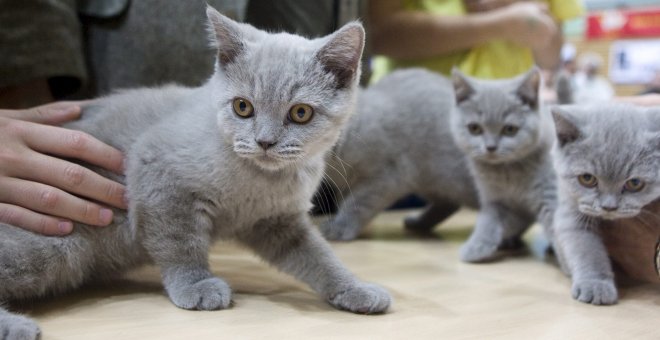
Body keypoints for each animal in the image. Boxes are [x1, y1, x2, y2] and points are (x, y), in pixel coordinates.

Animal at [0, 6, 392, 338]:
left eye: (300, 113)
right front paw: (197, 286)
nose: (264, 141)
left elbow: (318, 256)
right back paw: (18, 326)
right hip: (53, 242)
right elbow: (180, 242)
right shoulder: (158, 175)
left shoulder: (277, 221)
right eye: (243, 107)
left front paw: (356, 289)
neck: (260, 179)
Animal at [318, 67, 476, 240]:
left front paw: (339, 228)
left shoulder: (385, 176)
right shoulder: (345, 186)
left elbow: (356, 204)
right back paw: (417, 223)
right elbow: (344, 202)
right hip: (434, 182)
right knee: (449, 204)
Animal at [448, 67, 556, 262]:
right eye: (474, 128)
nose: (490, 147)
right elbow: (488, 222)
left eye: (510, 129)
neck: (508, 172)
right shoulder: (495, 199)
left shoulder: (549, 193)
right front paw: (476, 247)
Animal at [548, 104, 656, 306]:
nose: (609, 207)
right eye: (587, 179)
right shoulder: (570, 209)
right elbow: (585, 249)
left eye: (635, 183)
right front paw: (595, 285)